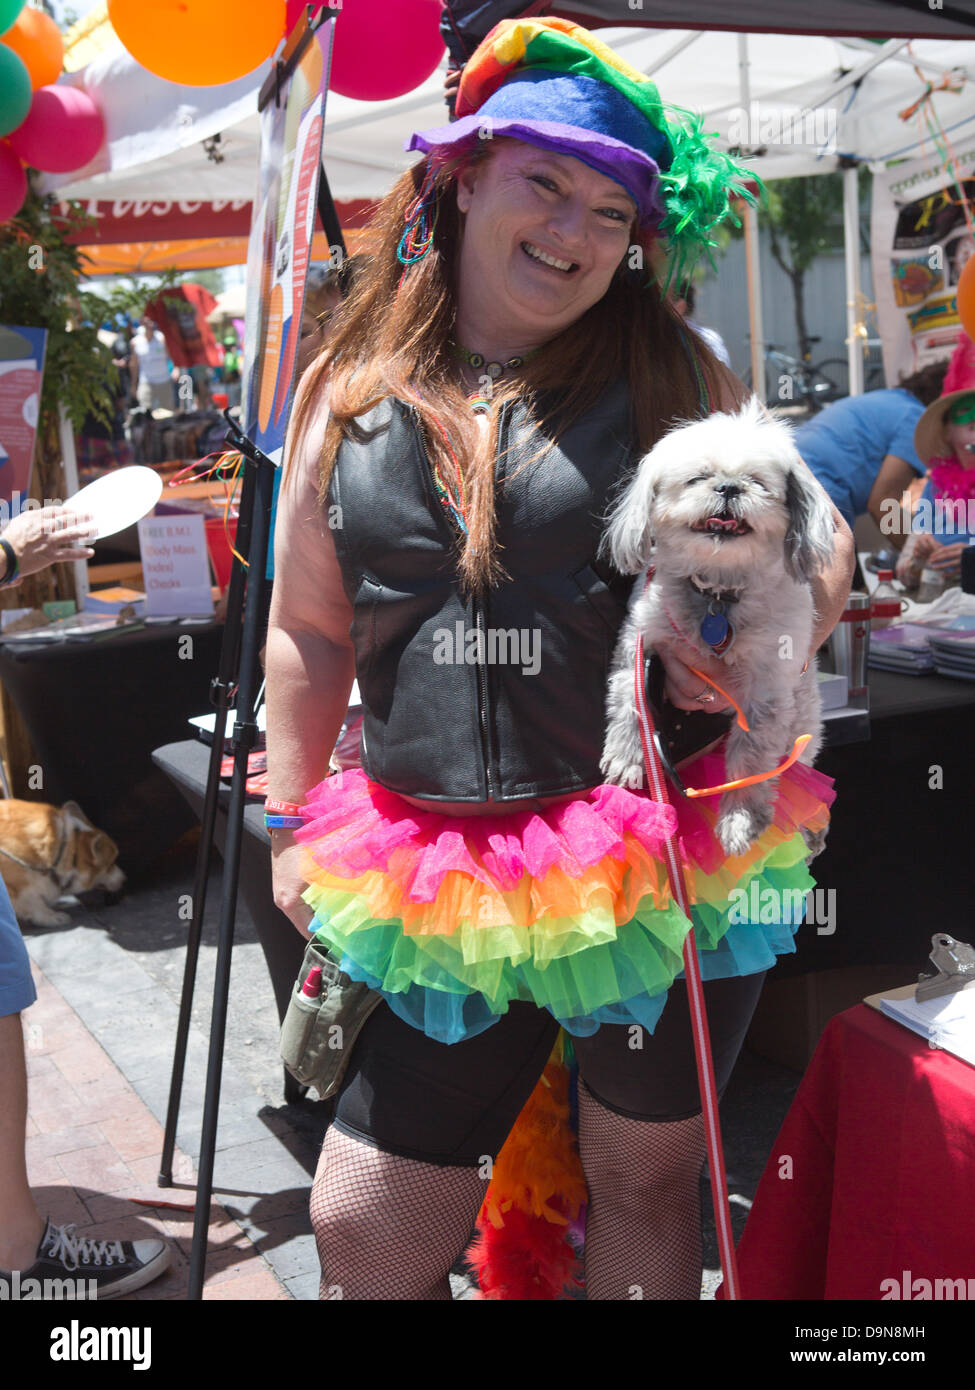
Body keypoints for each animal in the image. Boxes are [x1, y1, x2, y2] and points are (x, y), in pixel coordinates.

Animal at [598, 397, 834, 856]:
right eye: (698, 478)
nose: (728, 488)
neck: (717, 594)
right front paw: (626, 755)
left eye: (757, 482)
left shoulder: (766, 690)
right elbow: (629, 699)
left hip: (803, 723)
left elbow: (750, 760)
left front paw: (739, 818)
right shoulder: (639, 643)